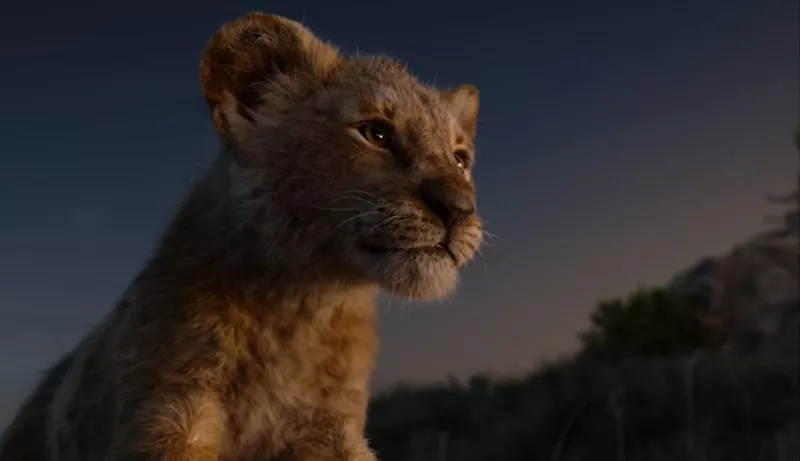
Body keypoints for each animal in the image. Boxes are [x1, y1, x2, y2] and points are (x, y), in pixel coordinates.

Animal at [0, 11, 482, 461]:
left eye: (460, 159)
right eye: (376, 133)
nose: (459, 208)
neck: (301, 307)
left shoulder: (329, 429)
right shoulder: (167, 412)